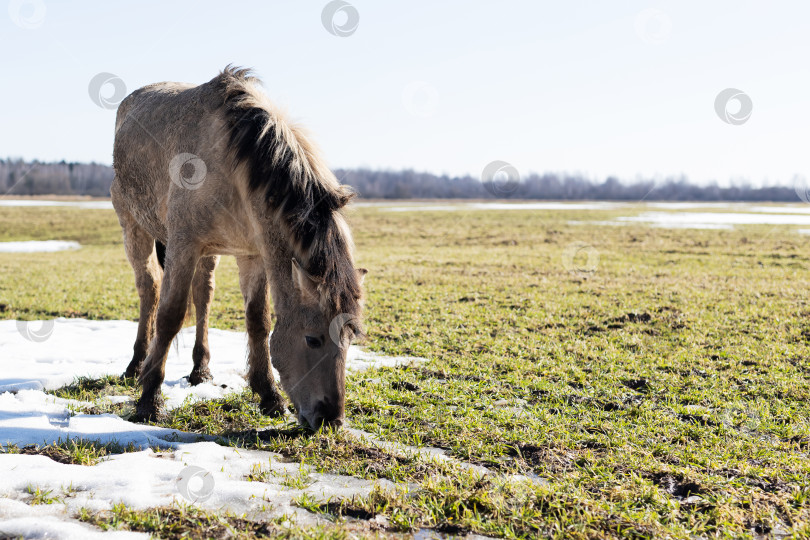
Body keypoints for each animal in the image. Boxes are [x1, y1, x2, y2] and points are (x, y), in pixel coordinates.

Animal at [111, 66, 366, 430]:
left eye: (349, 338)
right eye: (312, 339)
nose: (330, 418)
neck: (234, 165)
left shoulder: (253, 254)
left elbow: (257, 321)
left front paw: (269, 396)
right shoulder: (183, 244)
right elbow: (170, 315)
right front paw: (149, 401)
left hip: (209, 253)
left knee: (203, 295)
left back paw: (200, 369)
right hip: (134, 228)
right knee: (150, 290)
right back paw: (135, 365)